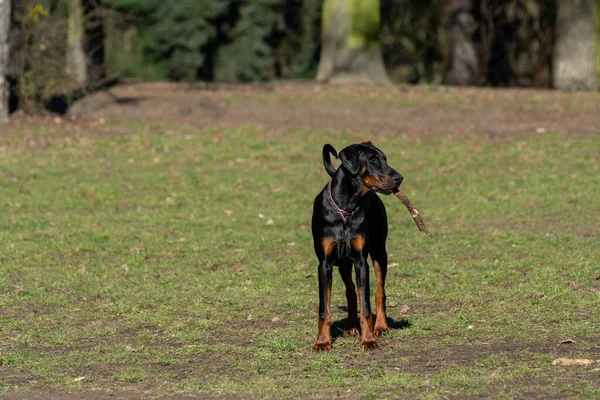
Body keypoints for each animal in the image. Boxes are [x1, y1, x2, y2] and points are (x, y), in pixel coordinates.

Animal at [310, 141, 404, 350]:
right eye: (372, 160)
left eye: (385, 158)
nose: (399, 178)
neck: (346, 208)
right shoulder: (325, 264)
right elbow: (324, 308)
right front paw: (322, 341)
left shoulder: (362, 262)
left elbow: (367, 305)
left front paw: (368, 339)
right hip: (343, 264)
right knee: (351, 292)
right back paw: (352, 326)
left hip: (379, 252)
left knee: (379, 292)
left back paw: (381, 326)